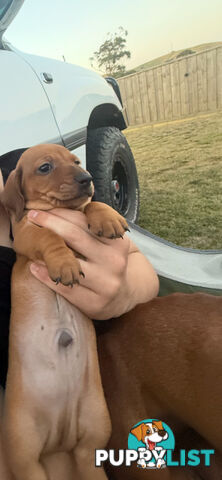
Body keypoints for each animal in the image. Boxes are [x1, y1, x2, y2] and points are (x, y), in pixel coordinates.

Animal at [0, 144, 128, 480]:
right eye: (45, 167)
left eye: (76, 161)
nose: (86, 179)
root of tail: (60, 440)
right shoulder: (28, 233)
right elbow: (50, 237)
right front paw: (65, 263)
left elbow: (90, 206)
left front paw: (107, 217)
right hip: (25, 454)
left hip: (92, 437)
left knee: (88, 458)